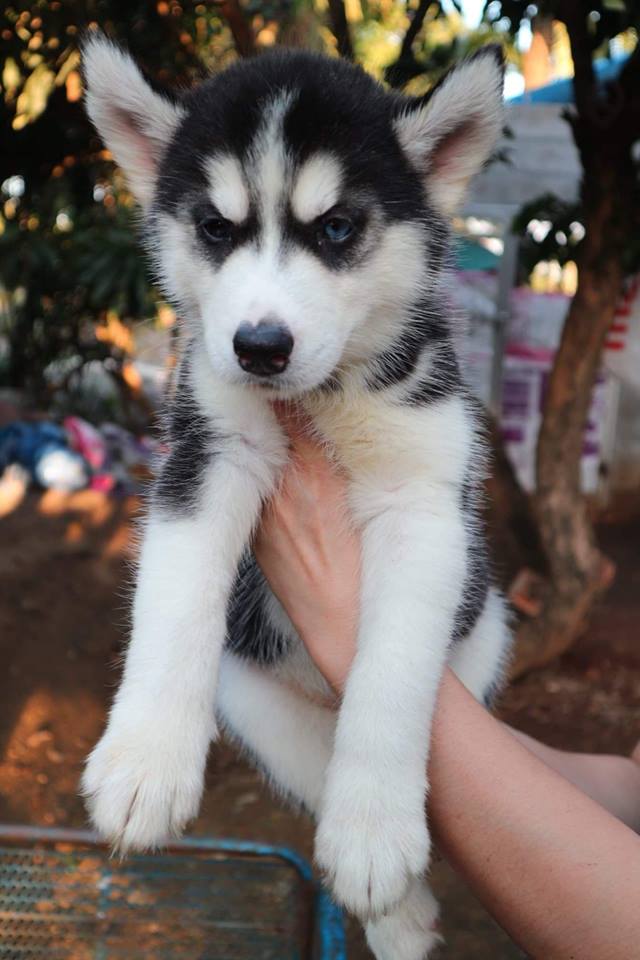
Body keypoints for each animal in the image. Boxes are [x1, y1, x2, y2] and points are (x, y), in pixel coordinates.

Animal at [81, 35, 511, 959]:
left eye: (337, 228)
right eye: (215, 228)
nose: (259, 346)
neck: (323, 396)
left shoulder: (425, 498)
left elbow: (392, 669)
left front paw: (377, 829)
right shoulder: (206, 450)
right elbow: (174, 602)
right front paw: (144, 763)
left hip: (488, 627)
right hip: (248, 688)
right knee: (310, 759)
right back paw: (402, 911)